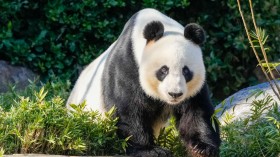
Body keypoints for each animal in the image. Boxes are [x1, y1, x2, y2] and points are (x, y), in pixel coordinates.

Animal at [67, 8, 221, 157]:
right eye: (163, 70)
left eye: (186, 71)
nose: (175, 94)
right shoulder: (128, 63)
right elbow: (128, 109)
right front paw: (150, 150)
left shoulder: (193, 88)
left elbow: (196, 110)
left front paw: (202, 148)